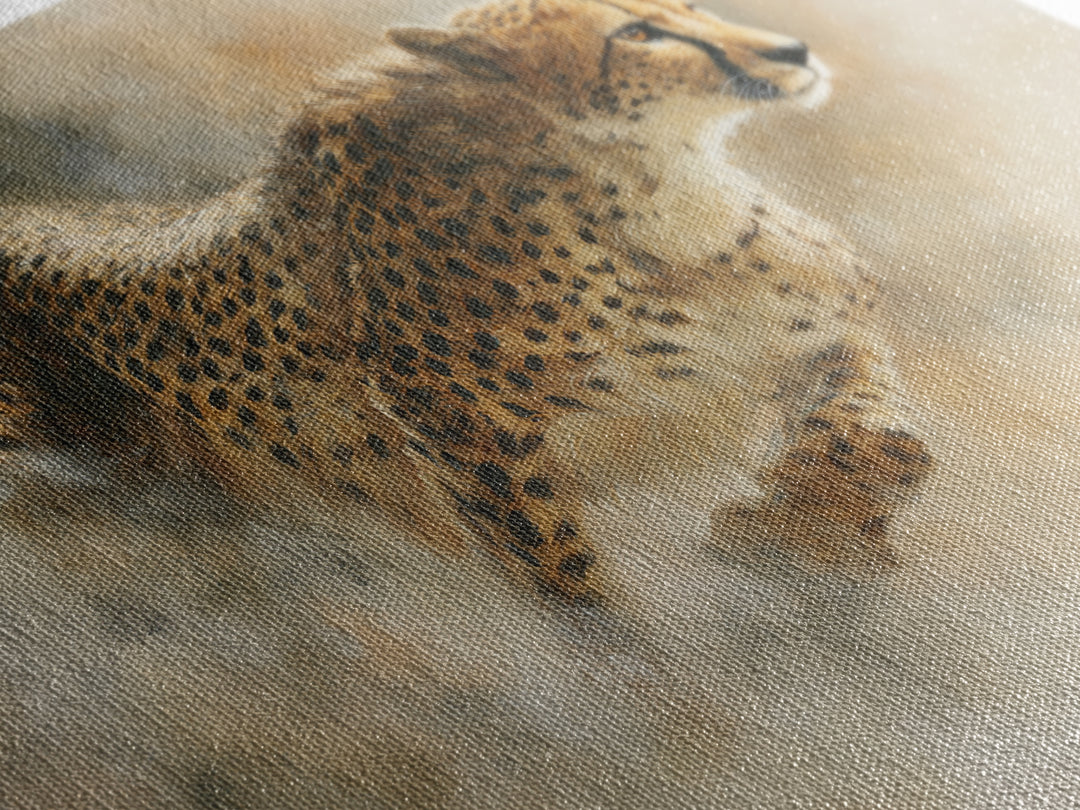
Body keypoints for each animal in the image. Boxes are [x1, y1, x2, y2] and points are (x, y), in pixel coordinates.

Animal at [0, 0, 932, 603]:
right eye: (637, 34)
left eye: (691, 6)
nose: (799, 49)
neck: (642, 186)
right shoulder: (469, 429)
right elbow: (563, 572)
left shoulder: (823, 325)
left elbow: (872, 415)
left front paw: (818, 508)